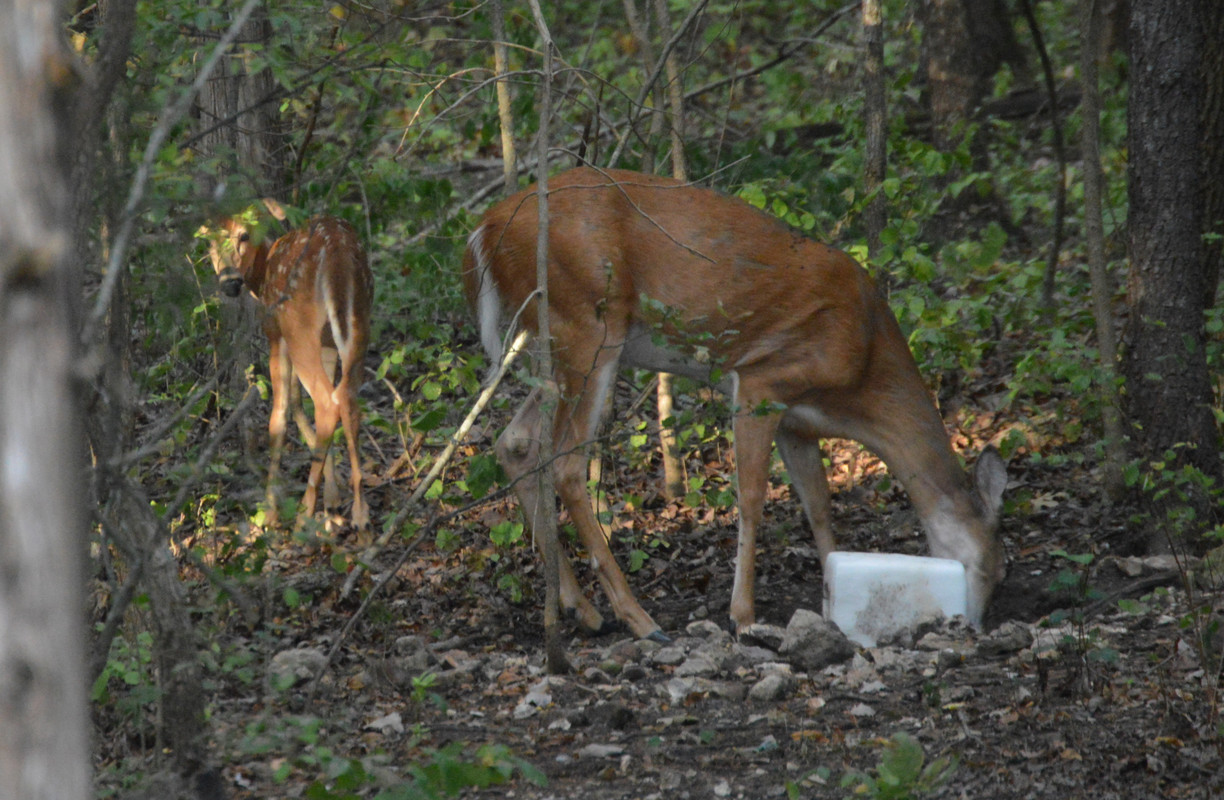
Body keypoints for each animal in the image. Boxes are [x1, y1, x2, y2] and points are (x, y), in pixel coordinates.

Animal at [203, 201, 373, 532]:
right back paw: (360, 514)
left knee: (326, 402)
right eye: (209, 242)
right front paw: (333, 502)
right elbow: (299, 404)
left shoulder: (276, 335)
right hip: (358, 321)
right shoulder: (327, 343)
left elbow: (280, 415)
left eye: (245, 234)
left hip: (299, 327)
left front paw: (269, 514)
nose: (229, 281)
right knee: (345, 399)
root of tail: (337, 254)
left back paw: (304, 514)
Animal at [462, 167, 1007, 643]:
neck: (863, 374)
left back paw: (584, 610)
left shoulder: (797, 424)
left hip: (549, 341)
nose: (976, 624)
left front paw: (831, 594)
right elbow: (751, 499)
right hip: (589, 324)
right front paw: (742, 616)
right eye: (989, 566)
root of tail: (485, 228)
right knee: (568, 463)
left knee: (515, 441)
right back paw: (640, 620)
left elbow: (818, 505)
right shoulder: (763, 381)